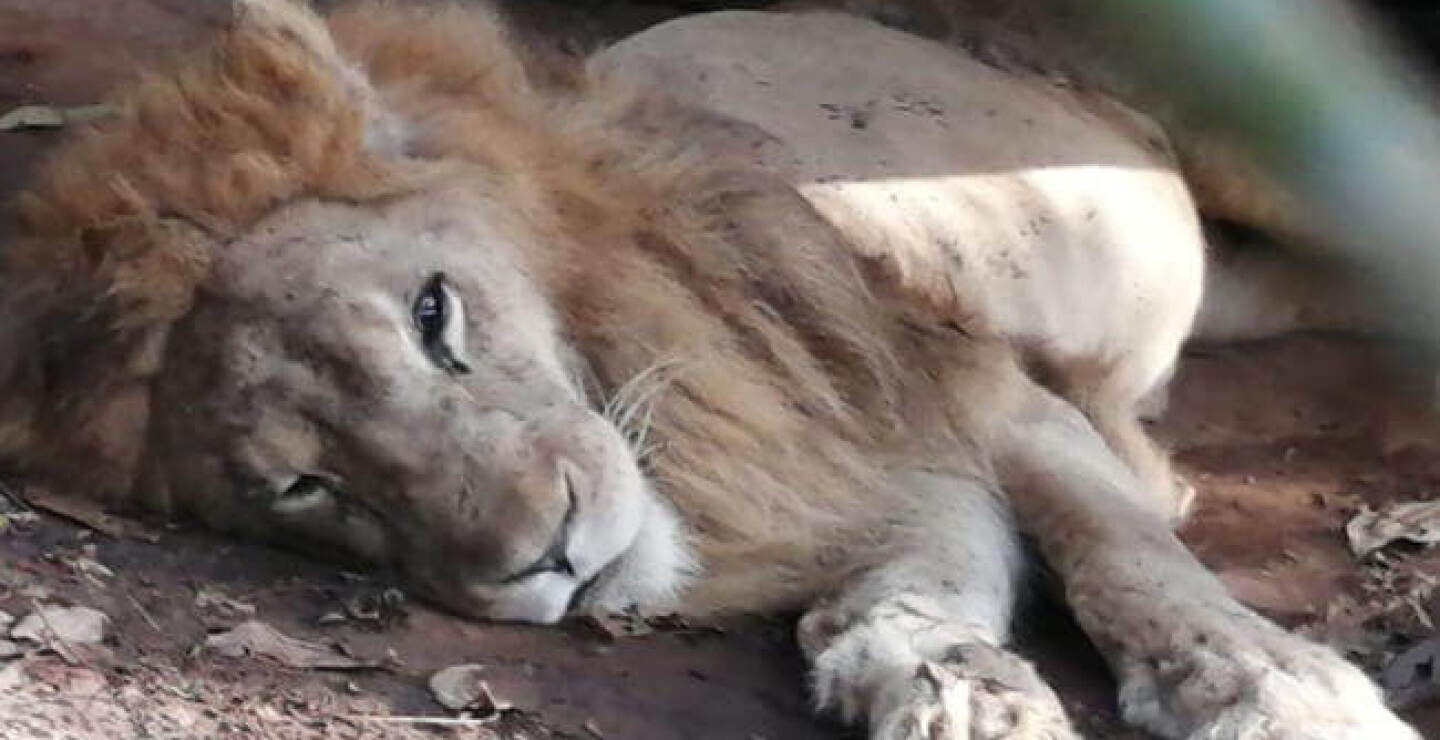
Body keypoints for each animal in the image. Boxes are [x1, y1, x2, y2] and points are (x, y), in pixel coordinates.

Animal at [0, 1, 1418, 738]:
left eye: (433, 311)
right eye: (307, 490)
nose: (547, 553)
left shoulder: (942, 378)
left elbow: (1124, 548)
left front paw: (1276, 684)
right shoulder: (859, 450)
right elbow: (934, 555)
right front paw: (941, 676)